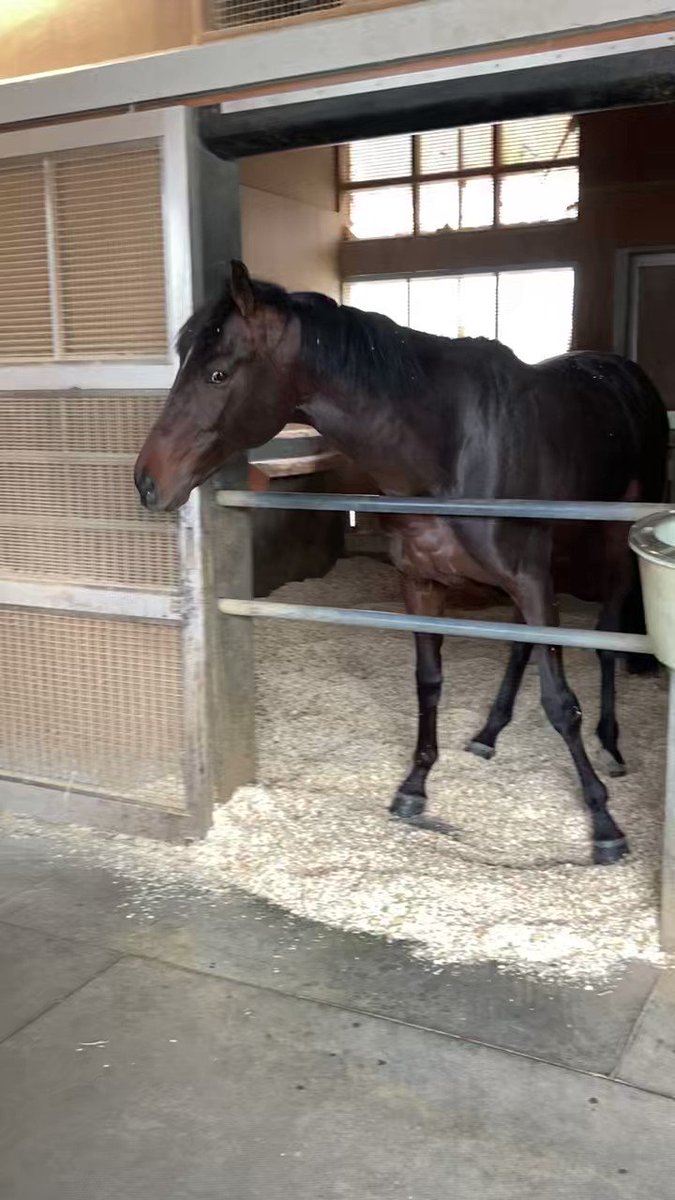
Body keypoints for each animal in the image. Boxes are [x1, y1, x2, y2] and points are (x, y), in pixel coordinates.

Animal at [135, 261, 669, 865]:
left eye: (218, 374)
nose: (147, 482)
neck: (449, 449)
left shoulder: (530, 580)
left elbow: (560, 701)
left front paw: (603, 822)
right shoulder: (423, 584)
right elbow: (429, 681)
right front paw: (415, 785)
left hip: (612, 543)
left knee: (605, 637)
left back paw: (611, 745)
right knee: (522, 645)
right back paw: (490, 731)